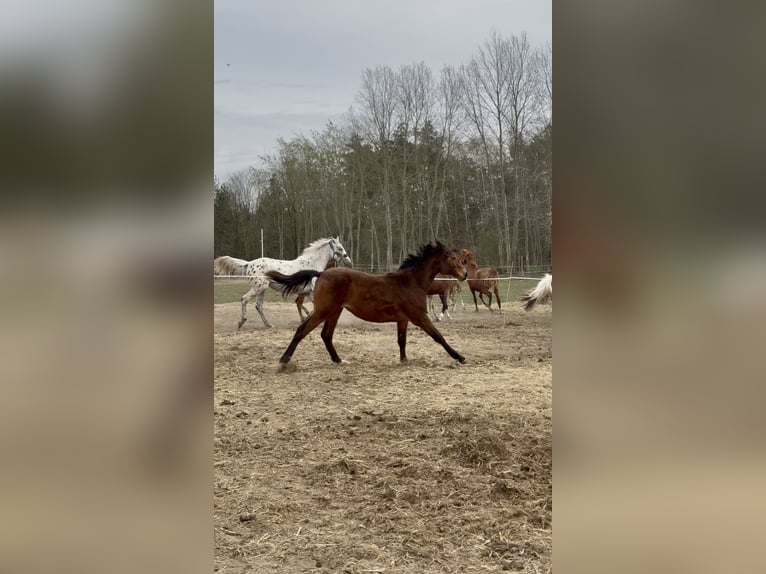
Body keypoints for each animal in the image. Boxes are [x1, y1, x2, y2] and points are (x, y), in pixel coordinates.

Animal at [213, 237, 352, 329]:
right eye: (340, 248)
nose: (349, 262)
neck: (312, 265)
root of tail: (249, 264)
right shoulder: (311, 291)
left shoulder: (307, 292)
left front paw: (307, 318)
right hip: (259, 287)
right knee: (244, 299)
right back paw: (241, 322)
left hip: (262, 289)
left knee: (258, 306)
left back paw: (269, 325)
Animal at [265, 241, 468, 367]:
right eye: (452, 258)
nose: (464, 274)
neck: (411, 282)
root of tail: (321, 273)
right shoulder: (419, 317)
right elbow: (438, 336)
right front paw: (460, 357)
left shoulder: (403, 319)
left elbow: (401, 340)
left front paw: (404, 361)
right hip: (323, 310)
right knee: (303, 330)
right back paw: (284, 360)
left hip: (335, 311)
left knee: (326, 335)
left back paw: (339, 360)